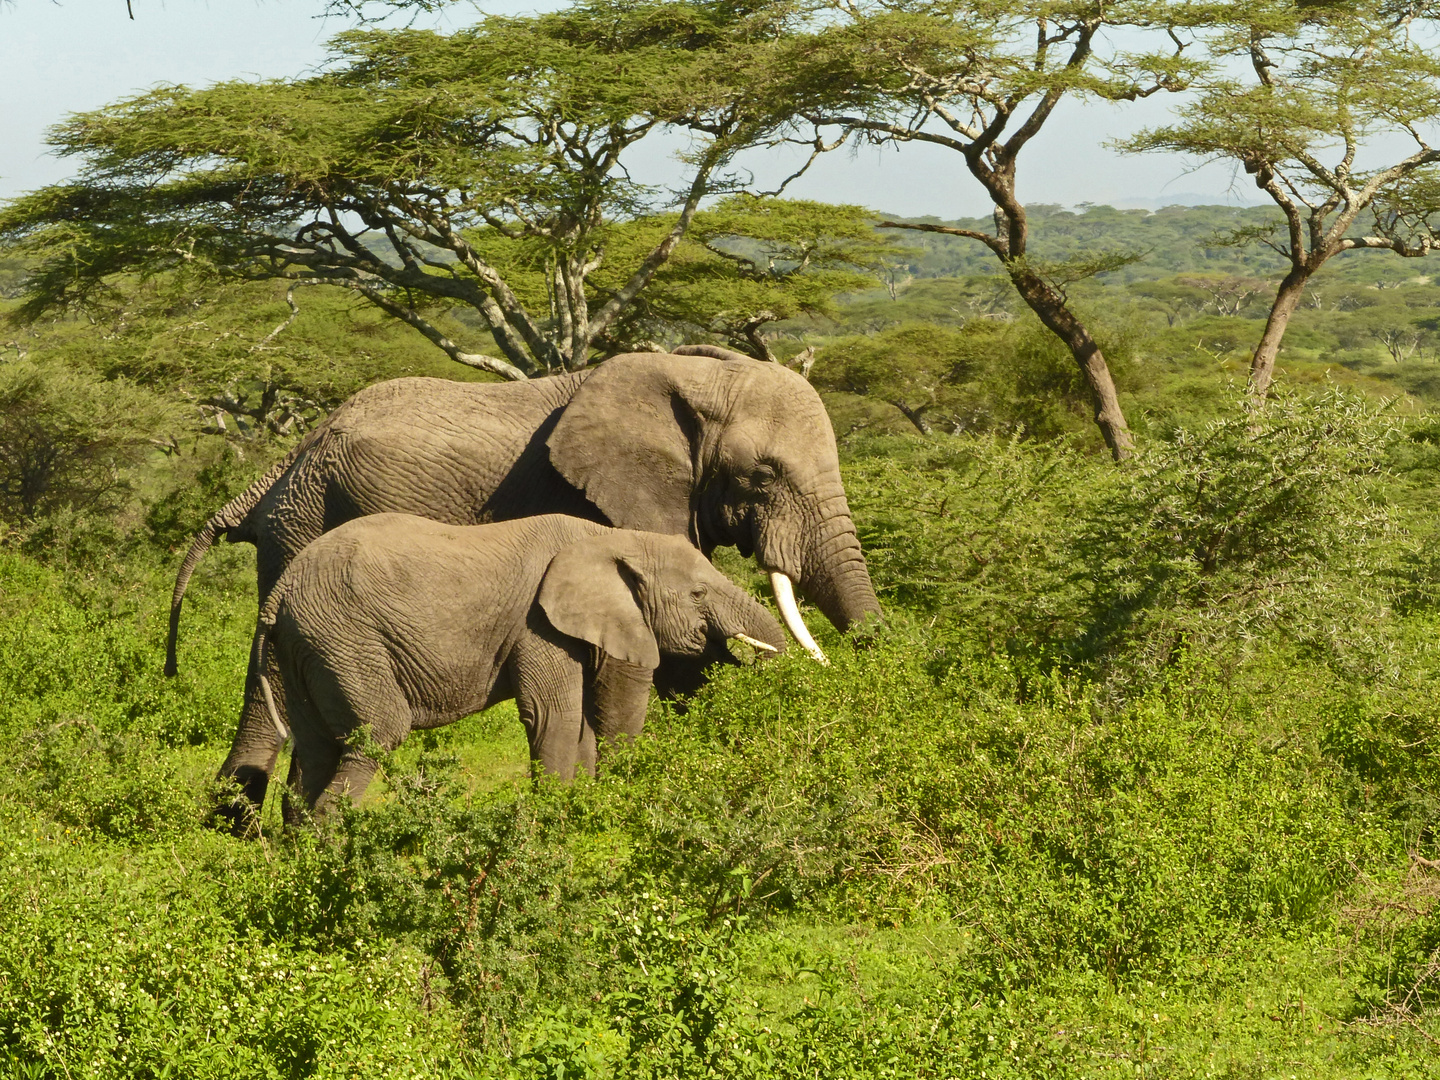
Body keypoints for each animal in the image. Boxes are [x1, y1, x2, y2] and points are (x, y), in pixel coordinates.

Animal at [253, 512, 783, 817]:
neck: (612, 538)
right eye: (699, 594)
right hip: (344, 639)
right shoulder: (537, 623)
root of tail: (280, 591)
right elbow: (560, 716)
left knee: (316, 749)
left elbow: (583, 725)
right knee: (378, 732)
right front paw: (556, 826)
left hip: (305, 648)